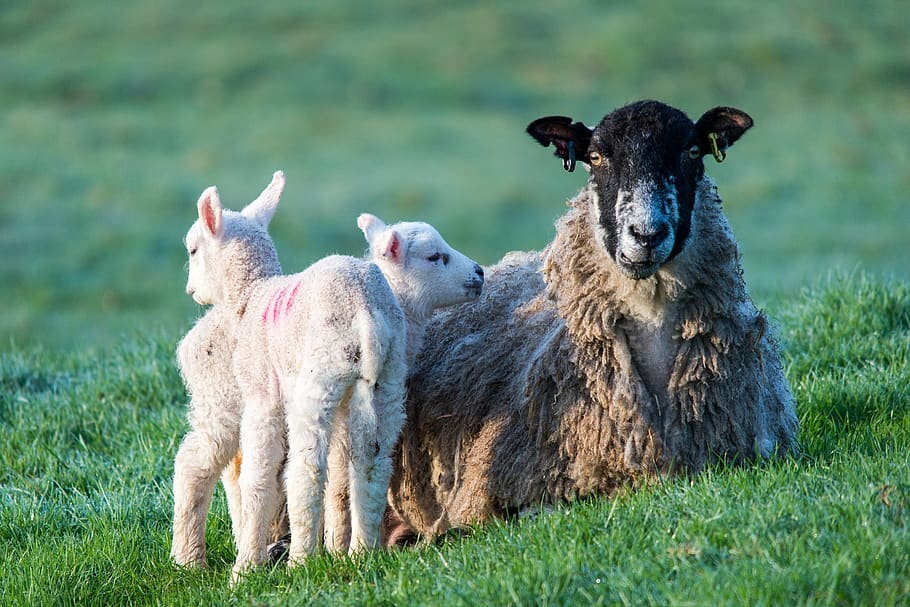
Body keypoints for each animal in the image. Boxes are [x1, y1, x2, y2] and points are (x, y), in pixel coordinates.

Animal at [183, 171, 484, 579]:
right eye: (436, 257)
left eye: (192, 250)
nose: (480, 273)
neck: (251, 295)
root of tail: (365, 311)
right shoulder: (352, 401)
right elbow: (341, 481)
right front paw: (336, 549)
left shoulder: (264, 396)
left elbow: (266, 476)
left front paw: (249, 570)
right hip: (382, 386)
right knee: (372, 465)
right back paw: (358, 552)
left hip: (308, 386)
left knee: (290, 470)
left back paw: (273, 558)